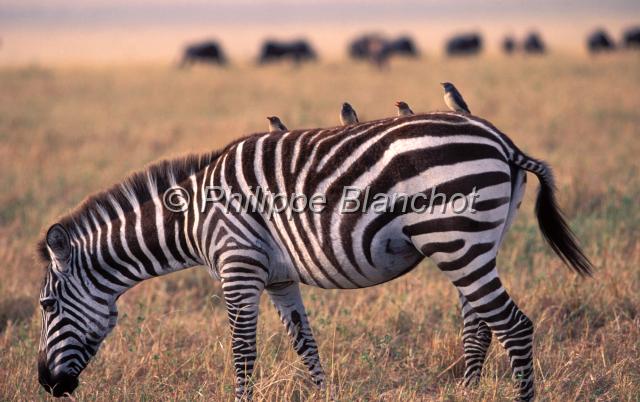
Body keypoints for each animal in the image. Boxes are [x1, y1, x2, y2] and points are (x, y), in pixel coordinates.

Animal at [37, 111, 592, 400]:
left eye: (45, 307)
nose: (45, 383)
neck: (193, 217)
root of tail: (501, 139)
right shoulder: (279, 279)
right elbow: (305, 345)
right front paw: (324, 394)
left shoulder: (238, 267)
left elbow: (243, 352)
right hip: (476, 242)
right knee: (480, 323)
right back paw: (470, 390)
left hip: (454, 238)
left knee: (514, 326)